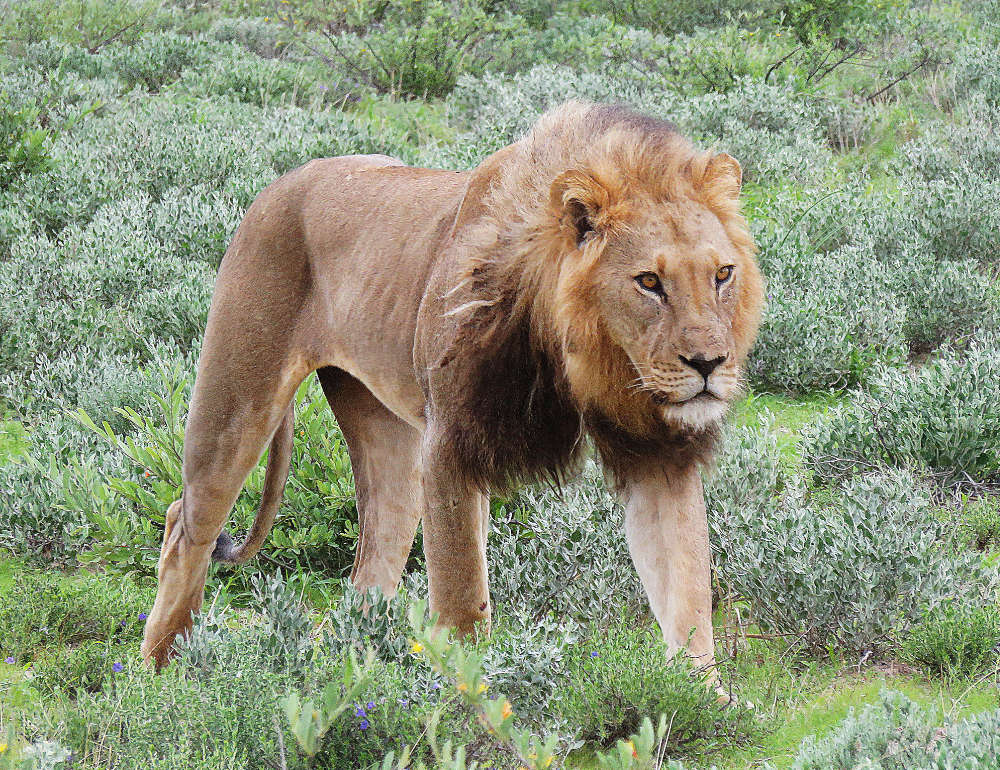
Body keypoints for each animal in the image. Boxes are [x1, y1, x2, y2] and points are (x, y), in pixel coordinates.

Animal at [141, 99, 760, 692]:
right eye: (649, 282)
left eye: (722, 275)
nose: (709, 364)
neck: (588, 359)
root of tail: (280, 183)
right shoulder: (451, 444)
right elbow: (463, 598)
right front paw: (471, 695)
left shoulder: (660, 453)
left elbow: (686, 587)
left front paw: (703, 696)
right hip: (238, 396)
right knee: (185, 526)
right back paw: (165, 670)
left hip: (383, 434)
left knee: (372, 561)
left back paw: (357, 671)